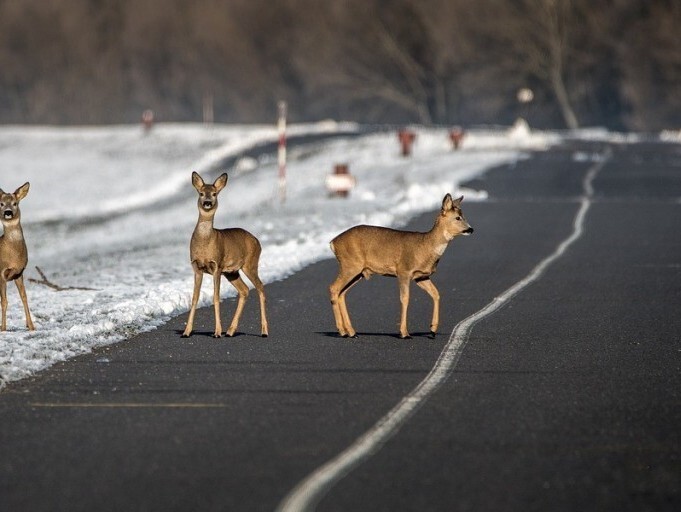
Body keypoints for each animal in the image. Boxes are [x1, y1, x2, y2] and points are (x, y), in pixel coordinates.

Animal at [182, 171, 268, 338]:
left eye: (214, 193)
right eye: (201, 193)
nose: (207, 202)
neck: (204, 243)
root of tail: (257, 240)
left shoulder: (217, 266)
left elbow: (216, 297)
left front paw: (217, 332)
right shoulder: (196, 267)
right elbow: (195, 298)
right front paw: (186, 332)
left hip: (250, 264)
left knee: (260, 287)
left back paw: (264, 331)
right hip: (232, 272)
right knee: (244, 290)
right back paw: (230, 330)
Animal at [329, 194, 473, 339]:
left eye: (463, 215)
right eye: (458, 217)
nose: (470, 229)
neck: (426, 246)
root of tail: (333, 242)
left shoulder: (421, 276)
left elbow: (436, 294)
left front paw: (432, 330)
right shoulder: (404, 270)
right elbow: (405, 298)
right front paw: (404, 333)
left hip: (358, 272)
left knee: (342, 292)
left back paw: (351, 332)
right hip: (350, 265)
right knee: (334, 288)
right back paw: (342, 331)